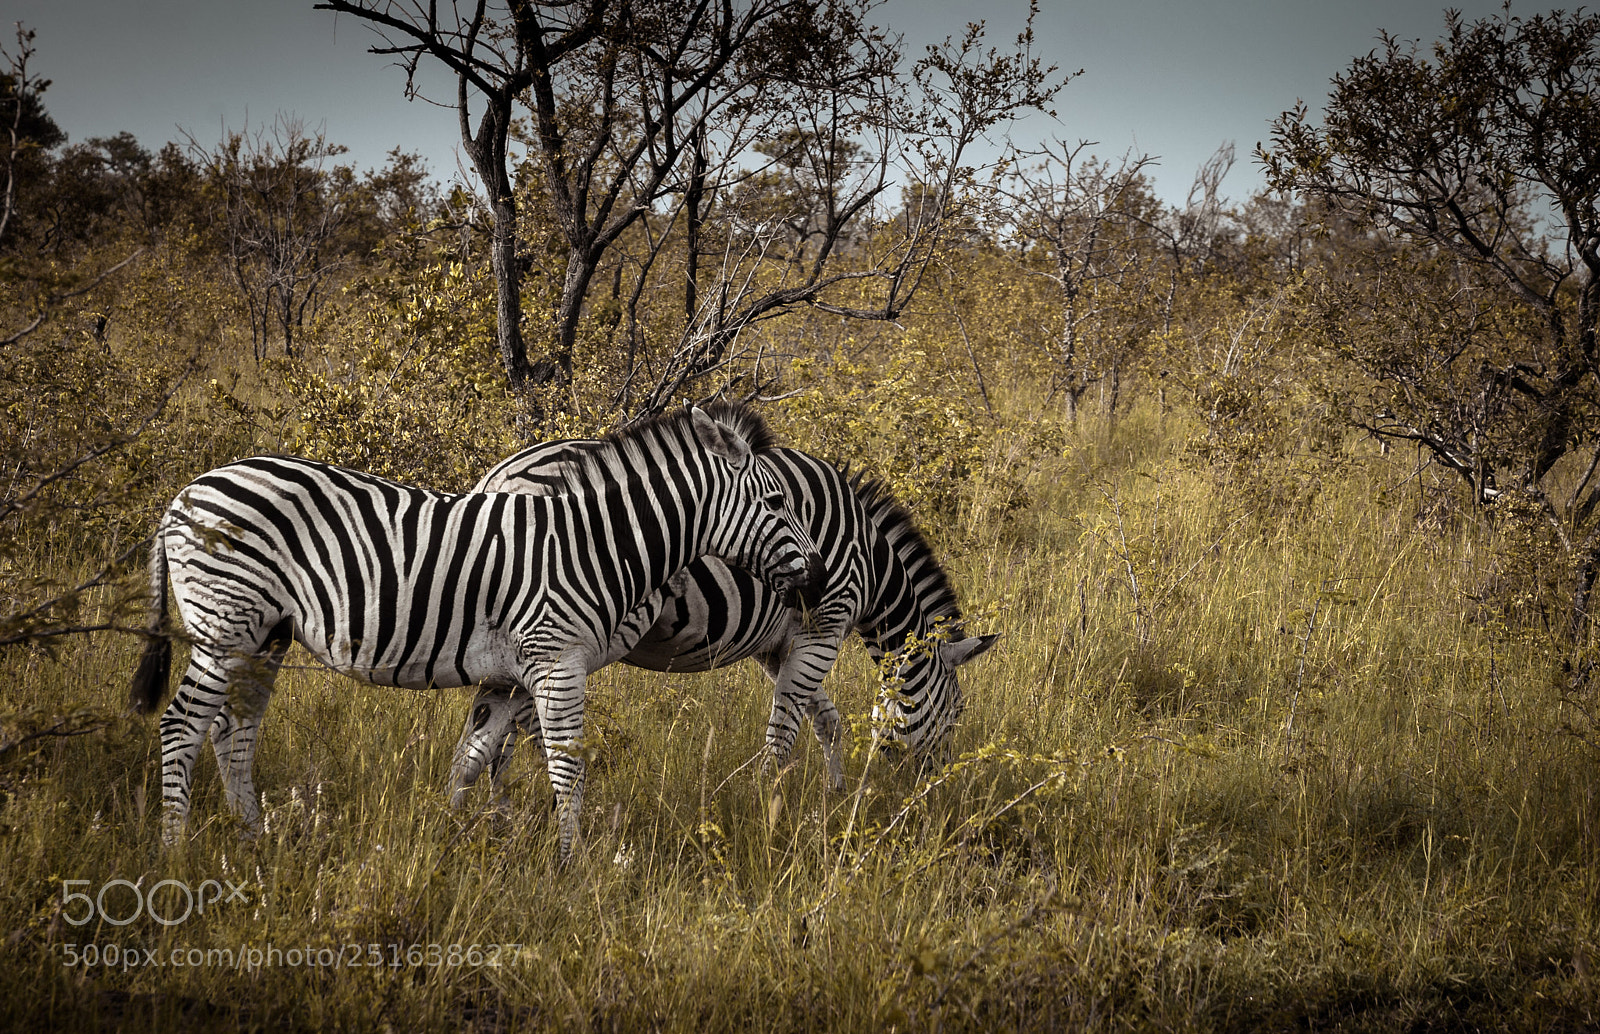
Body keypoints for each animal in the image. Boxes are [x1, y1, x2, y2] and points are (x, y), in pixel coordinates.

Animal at [128, 404, 816, 861]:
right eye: (777, 503)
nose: (813, 578)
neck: (593, 543)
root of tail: (185, 494)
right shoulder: (556, 660)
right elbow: (567, 765)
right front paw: (573, 865)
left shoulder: (509, 677)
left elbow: (471, 759)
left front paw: (451, 845)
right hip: (224, 621)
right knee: (183, 724)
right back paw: (173, 852)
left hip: (264, 634)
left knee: (233, 730)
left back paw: (253, 841)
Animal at [452, 443, 997, 801]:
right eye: (957, 712)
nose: (937, 788)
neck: (871, 563)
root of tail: (494, 478)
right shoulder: (824, 628)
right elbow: (784, 732)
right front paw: (768, 807)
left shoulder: (780, 646)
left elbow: (827, 720)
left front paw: (836, 797)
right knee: (517, 731)